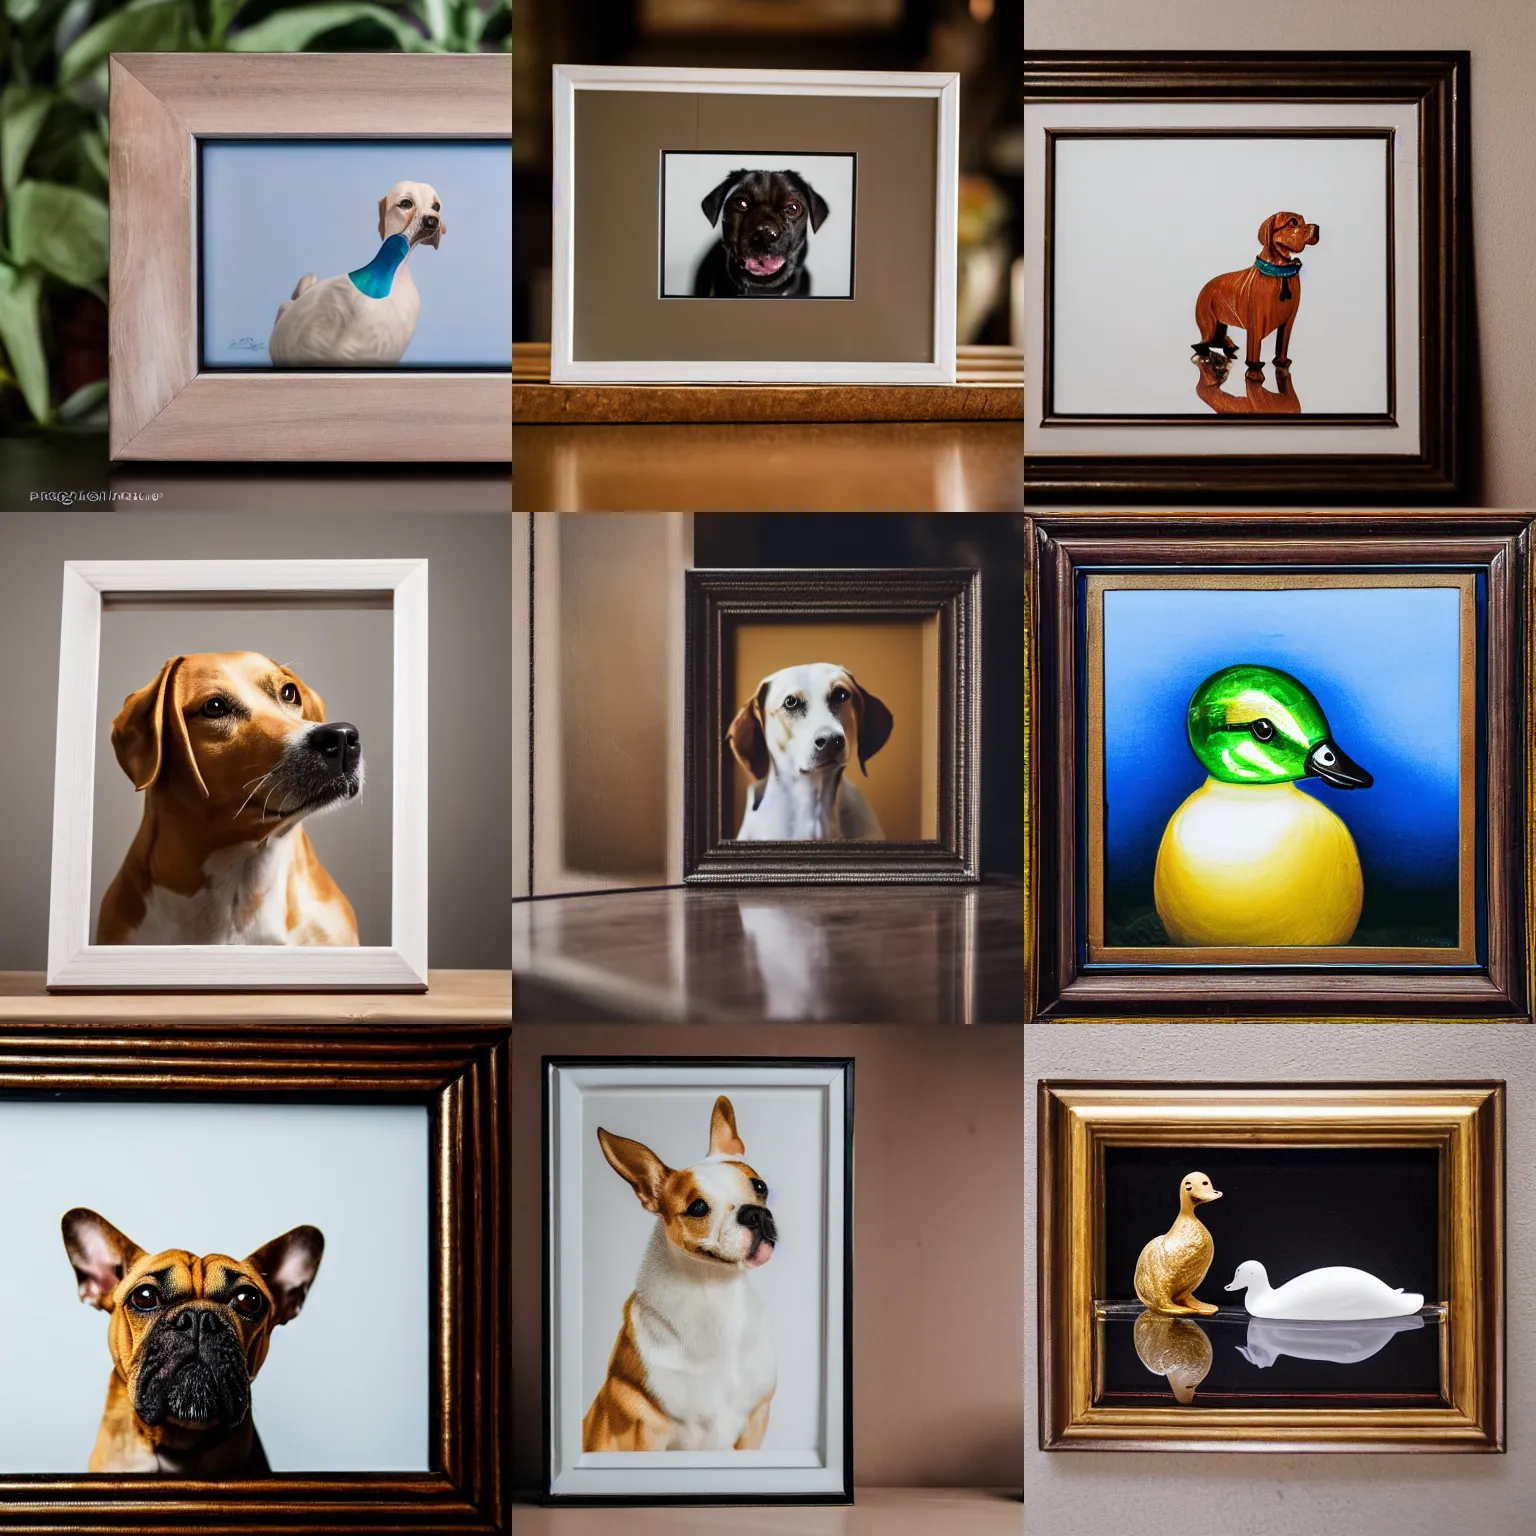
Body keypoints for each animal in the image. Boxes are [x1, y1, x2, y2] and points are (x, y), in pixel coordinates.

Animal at [586, 1099, 780, 1443]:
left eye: (761, 1187)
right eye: (698, 1208)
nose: (755, 1213)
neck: (717, 1293)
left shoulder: (755, 1420)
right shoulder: (646, 1432)